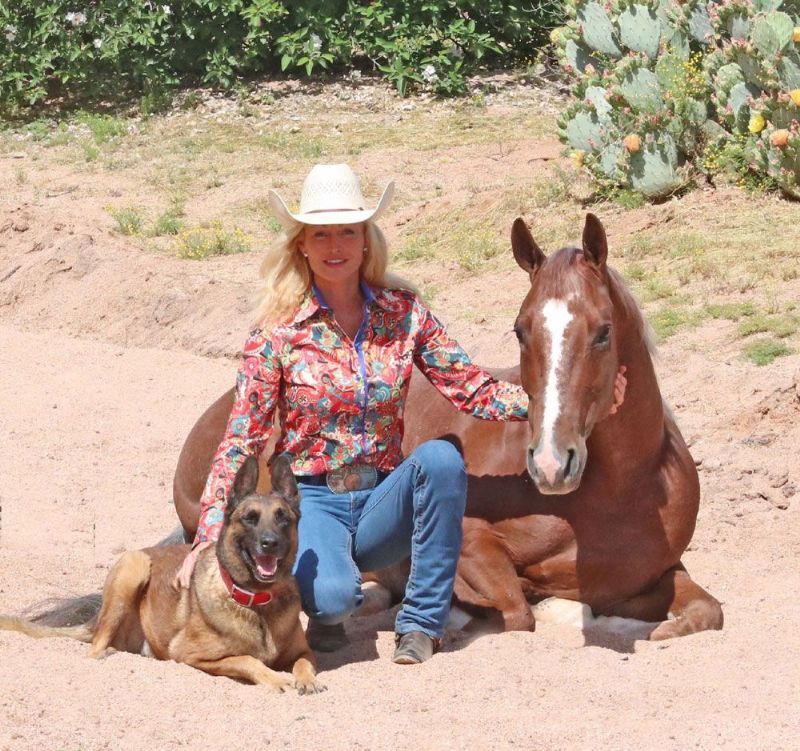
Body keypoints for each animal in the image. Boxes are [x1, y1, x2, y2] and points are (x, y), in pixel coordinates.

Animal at [173, 213, 723, 640]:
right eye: (520, 330)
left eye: (604, 332)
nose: (550, 464)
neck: (619, 490)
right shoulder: (473, 545)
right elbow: (520, 608)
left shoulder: (654, 576)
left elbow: (706, 610)